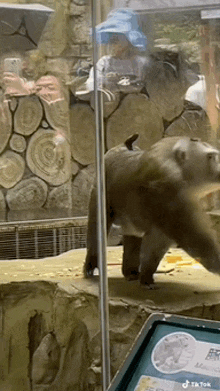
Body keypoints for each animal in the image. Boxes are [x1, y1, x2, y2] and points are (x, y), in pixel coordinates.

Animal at [83, 136, 220, 286]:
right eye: (210, 156)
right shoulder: (167, 190)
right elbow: (191, 235)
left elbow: (157, 243)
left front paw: (146, 275)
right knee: (96, 228)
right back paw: (92, 264)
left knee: (133, 236)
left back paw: (130, 272)